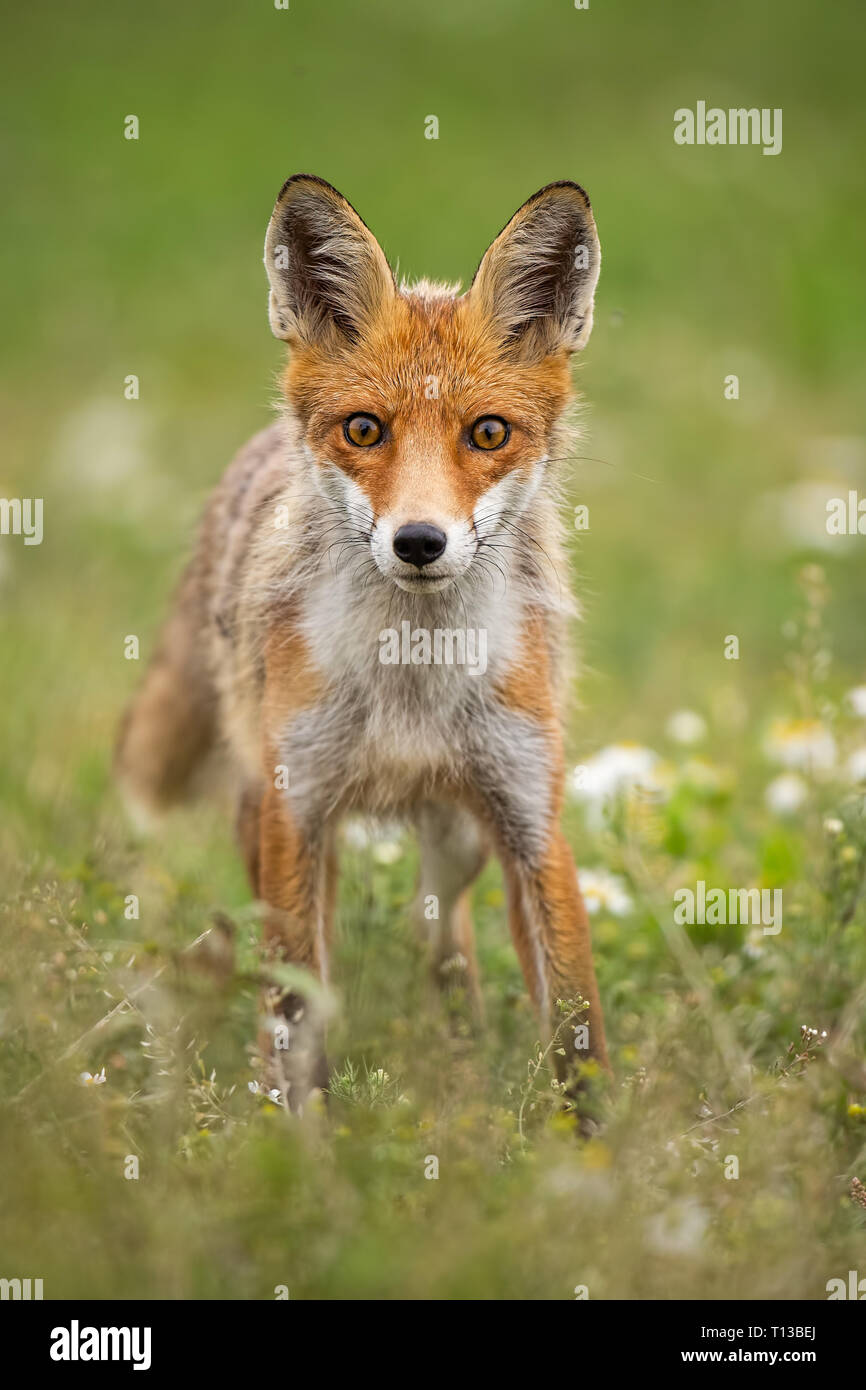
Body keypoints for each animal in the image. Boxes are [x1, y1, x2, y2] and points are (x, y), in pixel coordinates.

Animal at [116, 176, 608, 1106]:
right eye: (364, 430)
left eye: (489, 432)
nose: (419, 541)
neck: (412, 679)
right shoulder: (298, 812)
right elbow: (293, 1017)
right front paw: (299, 1134)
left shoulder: (532, 816)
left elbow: (575, 1028)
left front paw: (594, 1142)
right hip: (273, 822)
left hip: (459, 840)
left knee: (443, 940)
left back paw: (461, 1052)